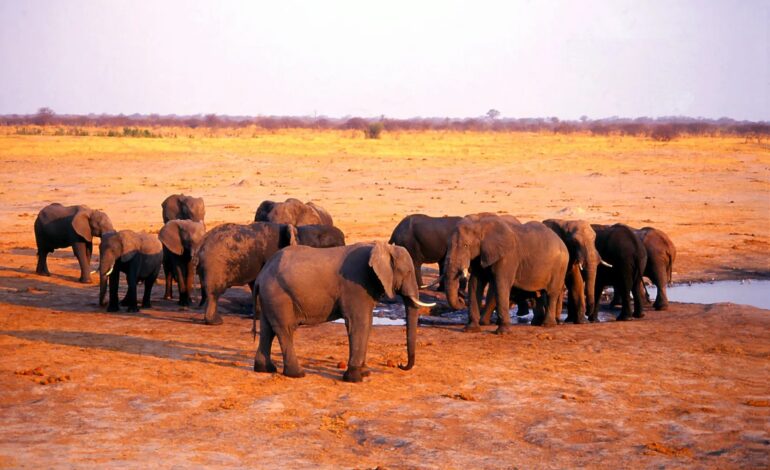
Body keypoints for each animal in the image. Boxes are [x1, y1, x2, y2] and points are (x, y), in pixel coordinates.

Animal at [250, 242, 432, 382]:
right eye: (408, 272)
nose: (400, 365)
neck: (382, 247)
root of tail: (260, 276)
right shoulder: (356, 285)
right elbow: (359, 323)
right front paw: (355, 378)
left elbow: (367, 323)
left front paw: (365, 373)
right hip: (279, 295)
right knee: (285, 330)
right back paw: (297, 374)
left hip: (269, 297)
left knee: (268, 329)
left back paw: (264, 369)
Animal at [440, 215, 568, 332]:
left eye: (466, 245)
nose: (461, 300)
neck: (480, 224)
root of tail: (561, 242)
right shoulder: (481, 254)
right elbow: (475, 284)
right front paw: (471, 330)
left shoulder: (507, 257)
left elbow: (501, 284)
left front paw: (503, 332)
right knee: (537, 293)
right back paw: (536, 323)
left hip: (560, 267)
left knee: (552, 293)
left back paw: (547, 325)